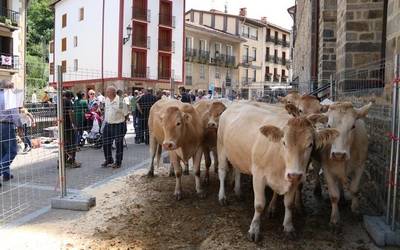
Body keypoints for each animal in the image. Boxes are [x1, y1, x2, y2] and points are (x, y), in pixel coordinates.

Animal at [217, 103, 340, 240]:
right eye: (284, 142)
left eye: (310, 144)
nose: (294, 174)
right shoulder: (258, 176)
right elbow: (259, 205)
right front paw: (254, 229)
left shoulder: (293, 179)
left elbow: (289, 204)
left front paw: (288, 226)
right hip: (221, 147)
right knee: (222, 172)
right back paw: (222, 197)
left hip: (237, 155)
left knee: (237, 170)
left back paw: (238, 192)